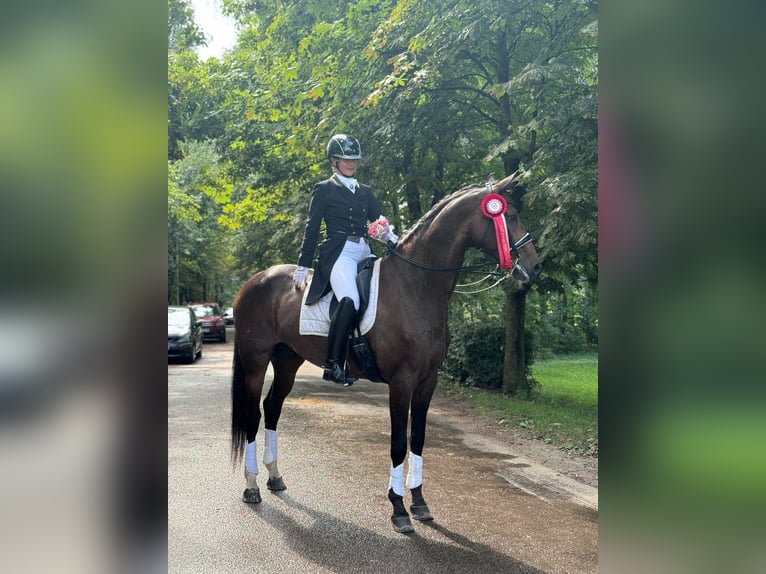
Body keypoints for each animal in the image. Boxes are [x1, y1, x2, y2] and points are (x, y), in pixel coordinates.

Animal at [231, 172, 544, 536]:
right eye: (510, 215)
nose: (534, 267)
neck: (416, 285)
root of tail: (254, 281)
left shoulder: (427, 381)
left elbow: (418, 438)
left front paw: (419, 503)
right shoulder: (401, 381)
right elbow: (397, 443)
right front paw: (398, 510)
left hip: (288, 361)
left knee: (272, 408)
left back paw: (275, 477)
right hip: (256, 362)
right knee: (253, 414)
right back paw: (251, 486)